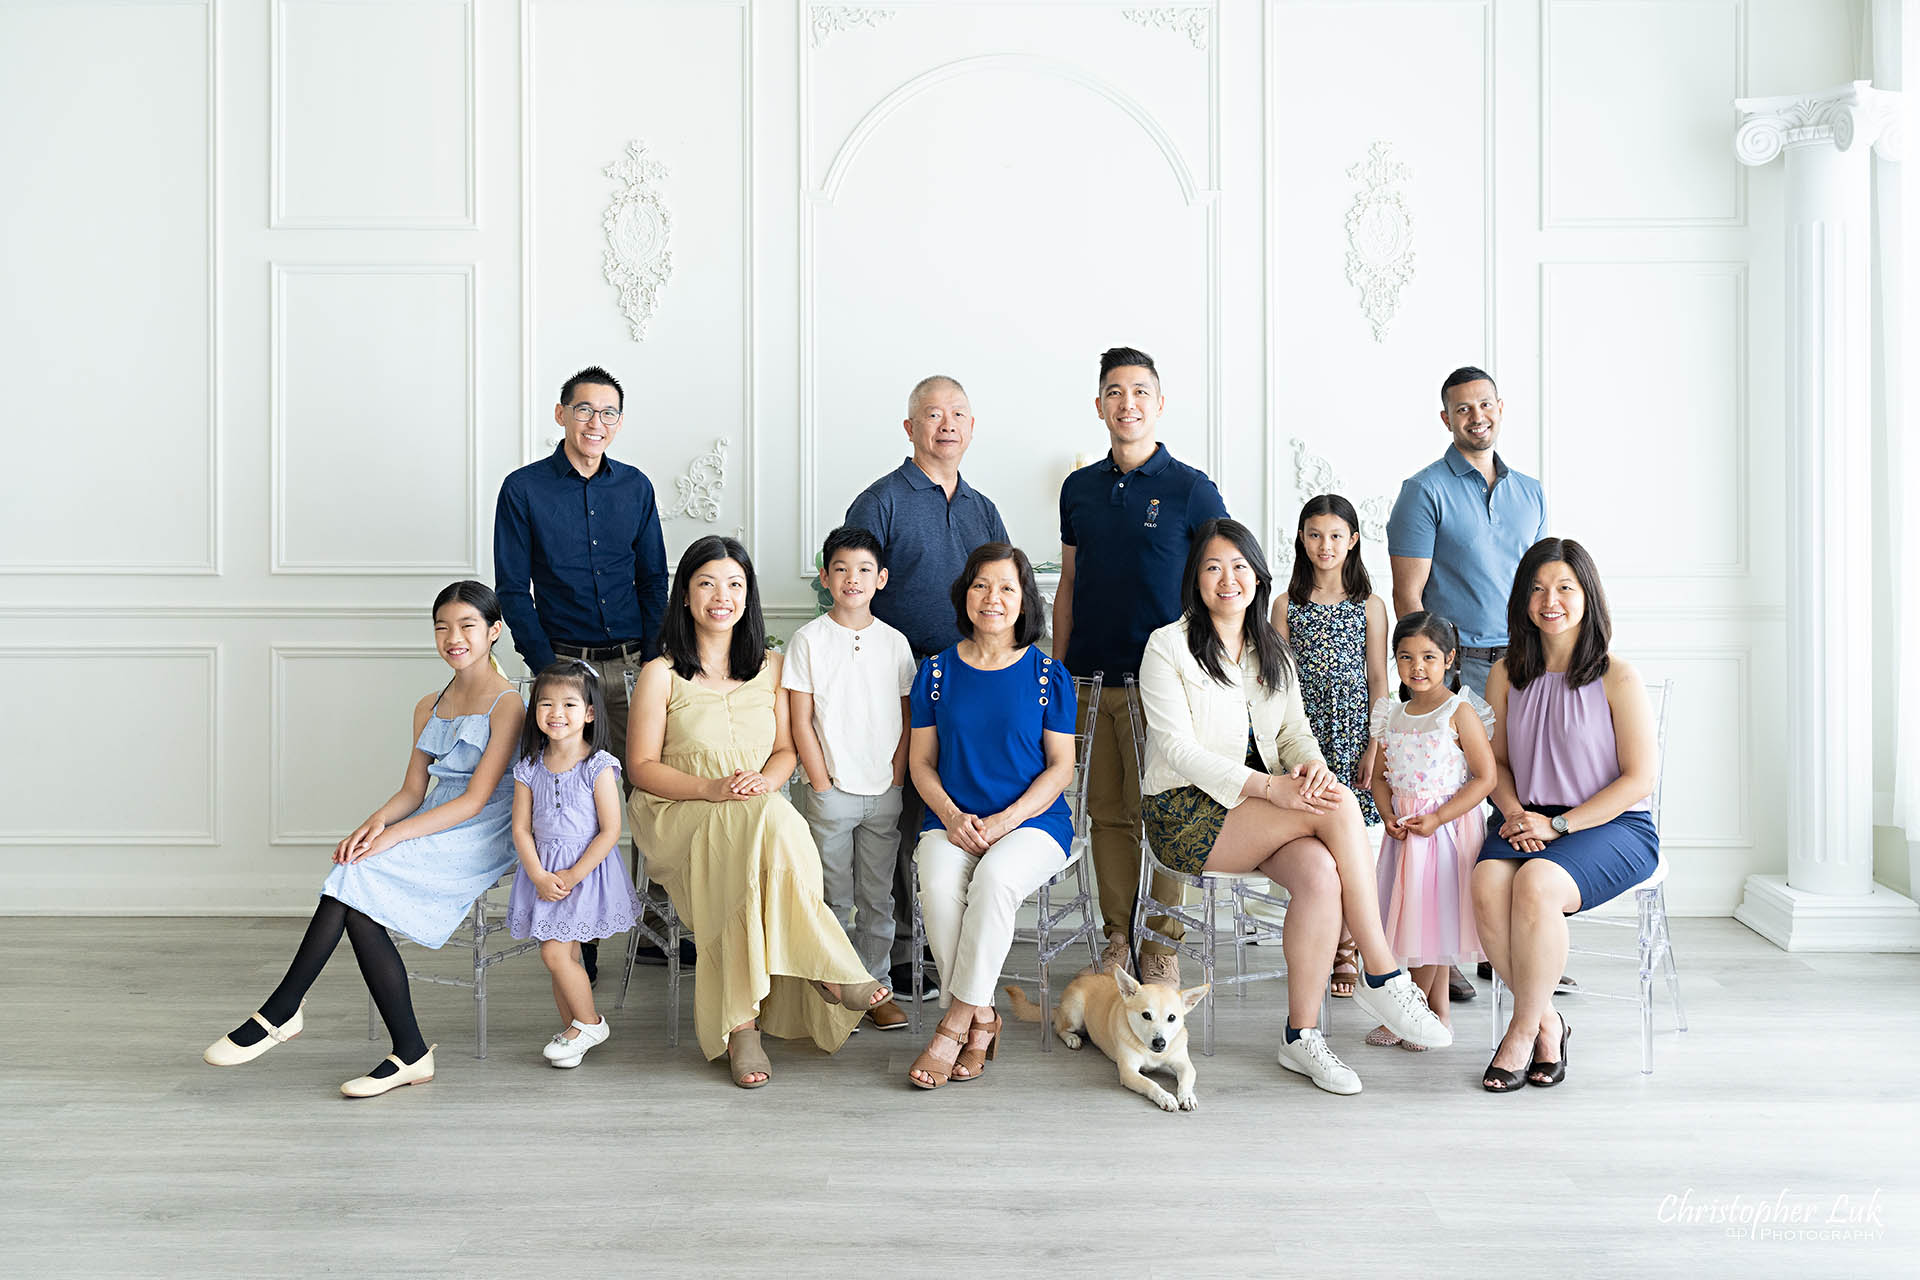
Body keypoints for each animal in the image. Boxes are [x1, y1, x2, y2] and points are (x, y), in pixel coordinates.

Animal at [998, 971, 1205, 1113]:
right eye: (1146, 1015)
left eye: (1172, 1018)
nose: (1160, 1042)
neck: (1150, 1051)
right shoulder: (1129, 1072)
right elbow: (1151, 1084)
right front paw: (1166, 1097)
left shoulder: (1185, 1064)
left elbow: (1186, 1080)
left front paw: (1186, 1096)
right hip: (1075, 1014)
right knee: (1059, 1028)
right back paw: (1072, 1038)